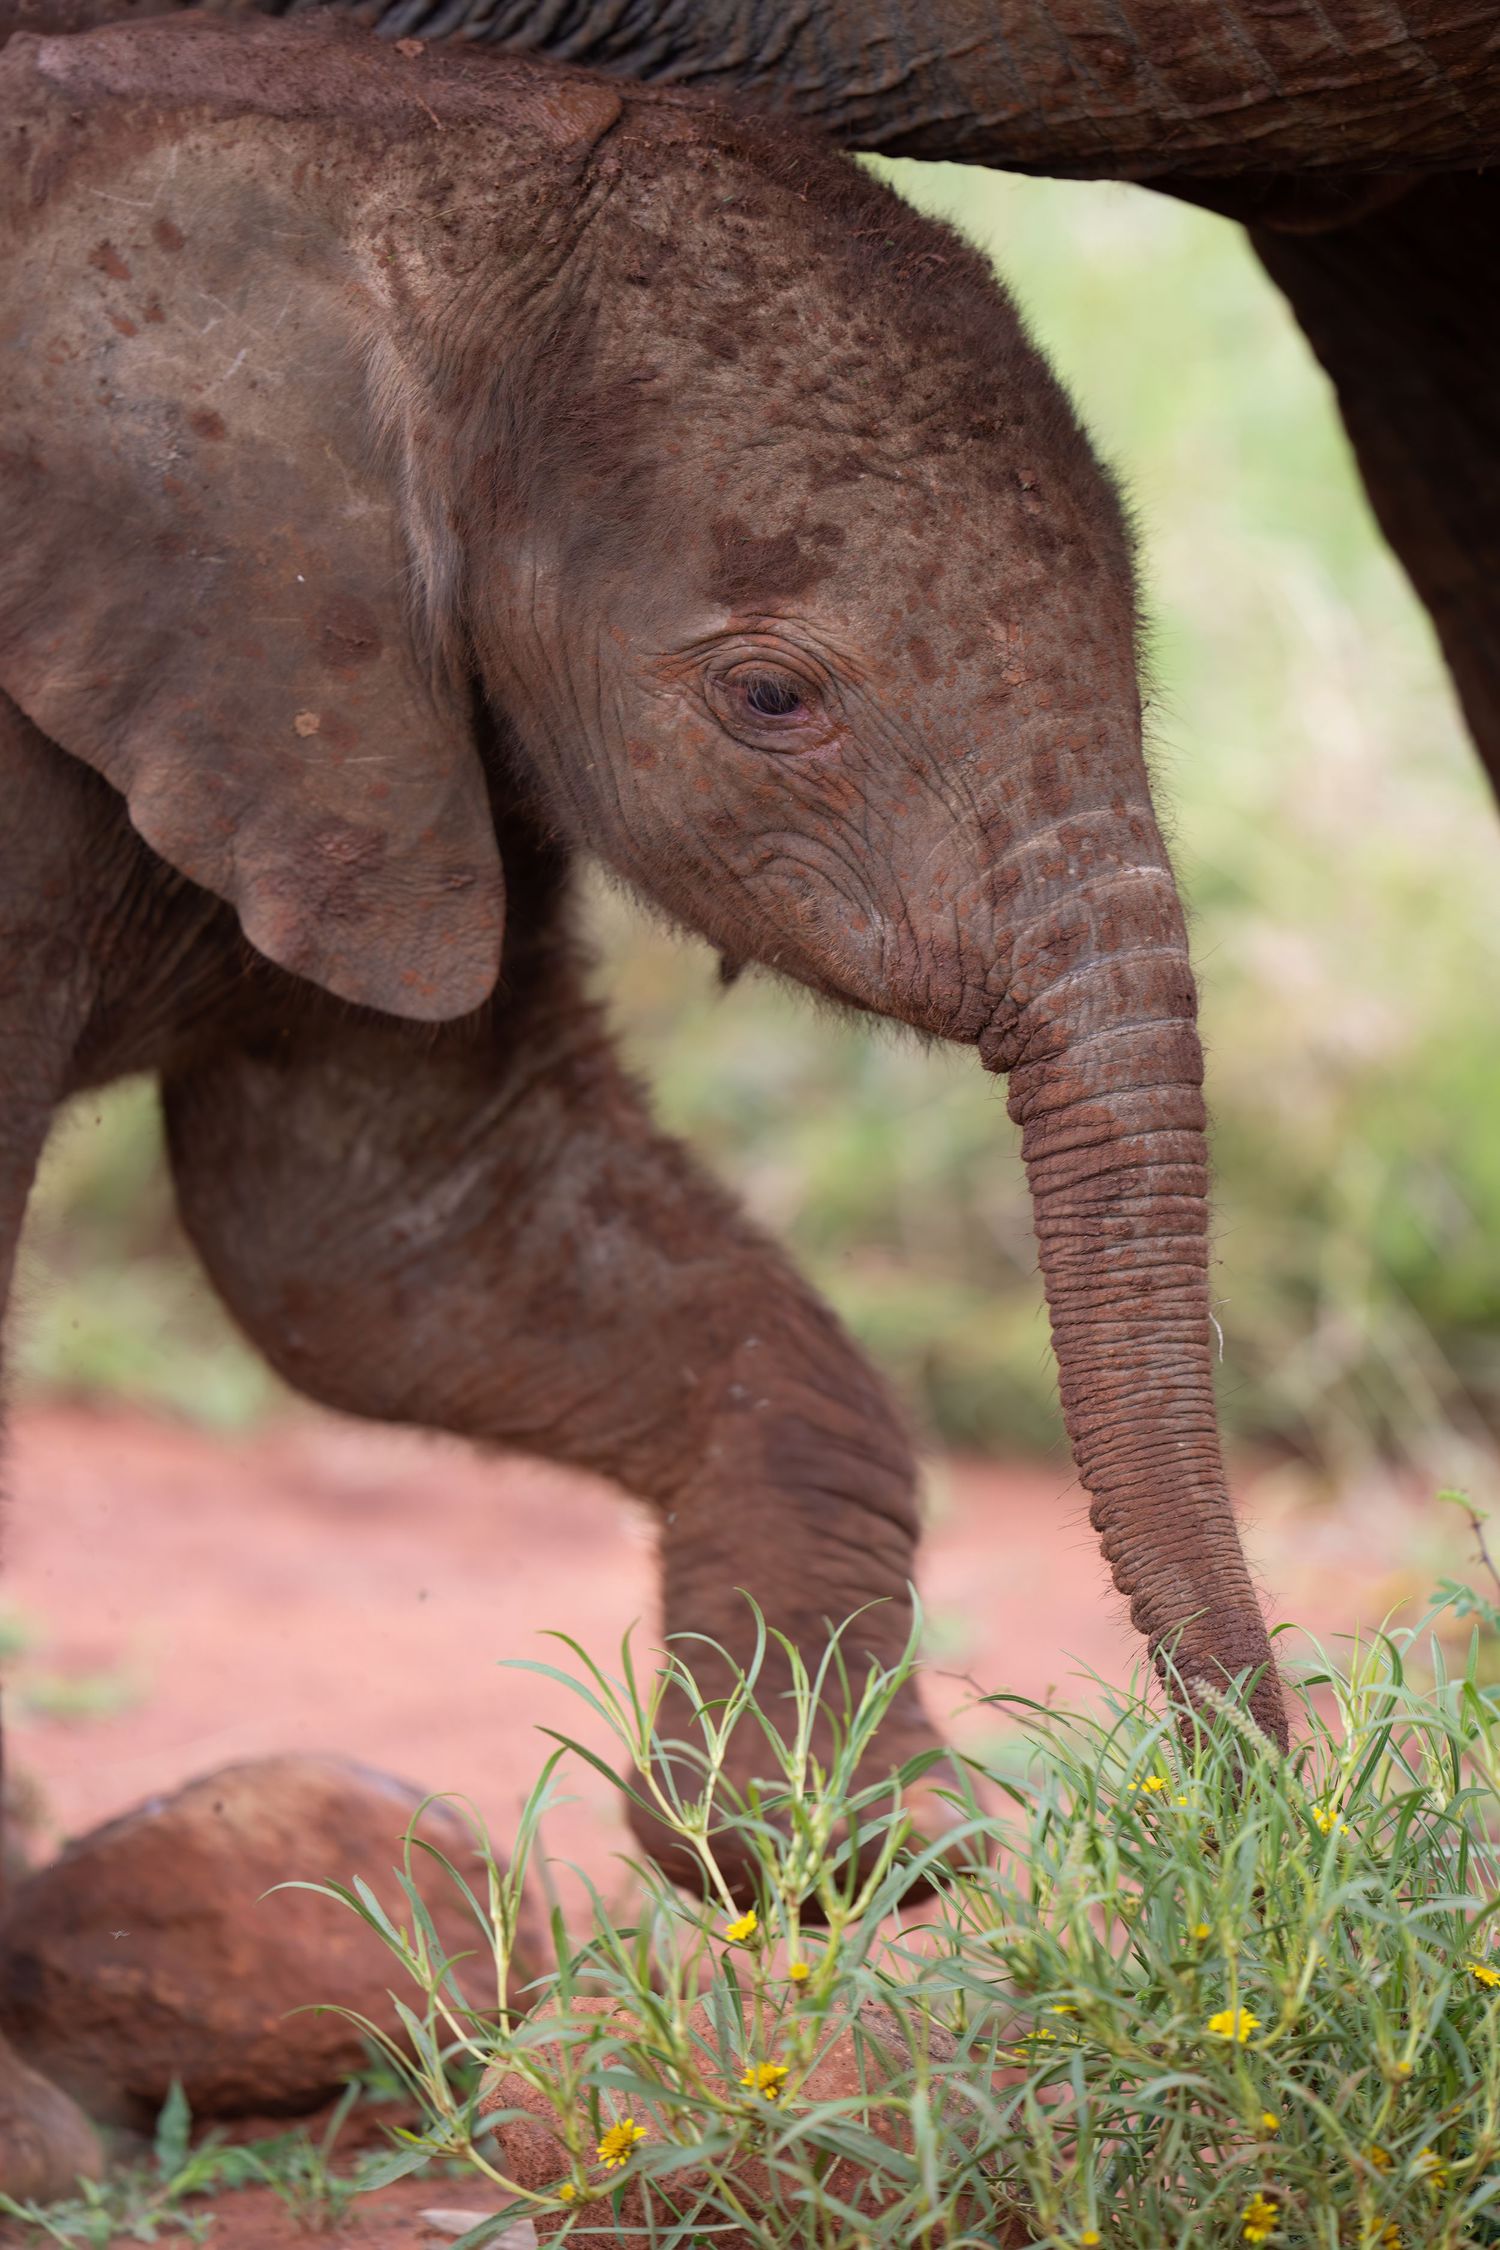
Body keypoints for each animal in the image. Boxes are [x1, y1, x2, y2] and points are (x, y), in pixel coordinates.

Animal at [0, 5, 1284, 2194]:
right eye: (772, 699)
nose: (1261, 1841)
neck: (381, 157)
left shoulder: (370, 698)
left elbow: (393, 1240)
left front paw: (836, 1848)